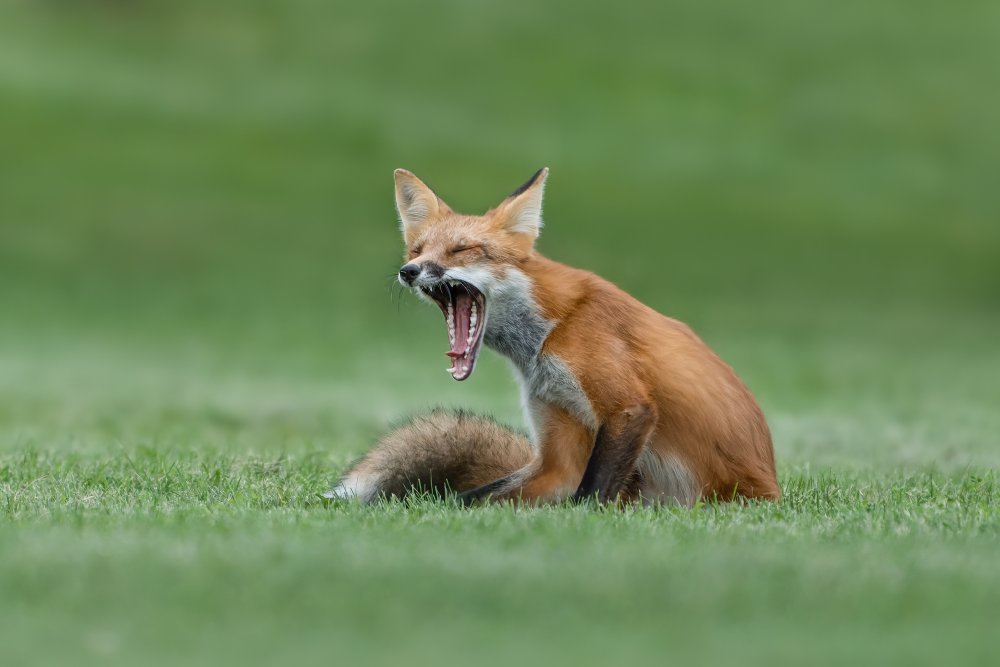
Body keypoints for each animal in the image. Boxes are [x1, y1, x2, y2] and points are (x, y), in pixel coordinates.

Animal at [330, 168, 780, 506]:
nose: (408, 271)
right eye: (417, 250)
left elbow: (589, 496)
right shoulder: (557, 445)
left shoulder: (628, 408)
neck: (549, 332)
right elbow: (473, 498)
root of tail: (773, 487)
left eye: (461, 250)